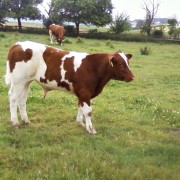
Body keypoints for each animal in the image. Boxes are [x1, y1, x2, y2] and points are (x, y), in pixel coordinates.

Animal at [4, 40, 134, 134]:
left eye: (128, 63)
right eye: (121, 64)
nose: (132, 77)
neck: (93, 67)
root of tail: (18, 44)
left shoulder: (82, 93)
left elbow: (80, 107)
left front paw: (80, 123)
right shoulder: (85, 92)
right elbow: (88, 111)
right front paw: (91, 129)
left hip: (26, 81)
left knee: (22, 100)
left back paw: (26, 121)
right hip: (18, 80)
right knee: (13, 98)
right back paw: (15, 123)